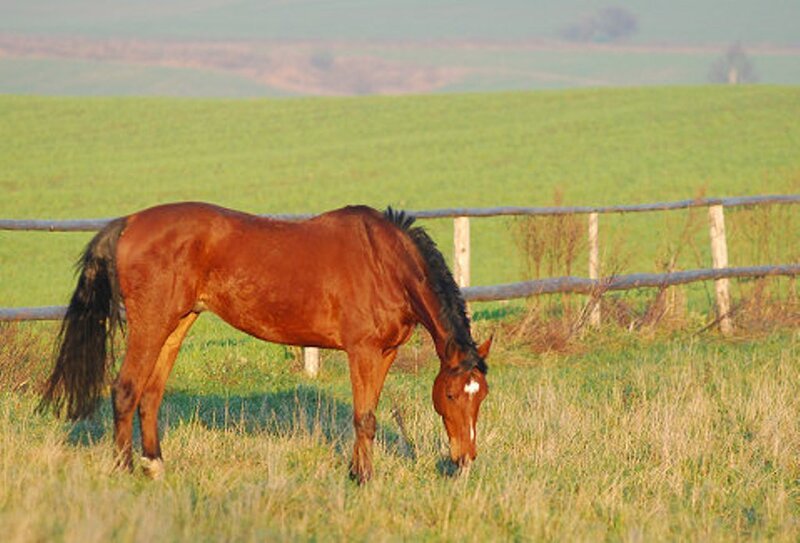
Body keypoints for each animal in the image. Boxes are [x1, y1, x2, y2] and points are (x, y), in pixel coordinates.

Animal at [40, 202, 491, 483]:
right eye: (451, 395)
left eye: (481, 395)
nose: (466, 459)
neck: (384, 261)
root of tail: (130, 222)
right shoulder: (361, 351)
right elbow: (364, 417)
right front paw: (363, 480)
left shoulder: (386, 353)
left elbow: (371, 416)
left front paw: (357, 472)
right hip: (150, 324)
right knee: (126, 389)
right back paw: (124, 470)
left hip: (176, 323)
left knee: (150, 395)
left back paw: (155, 466)